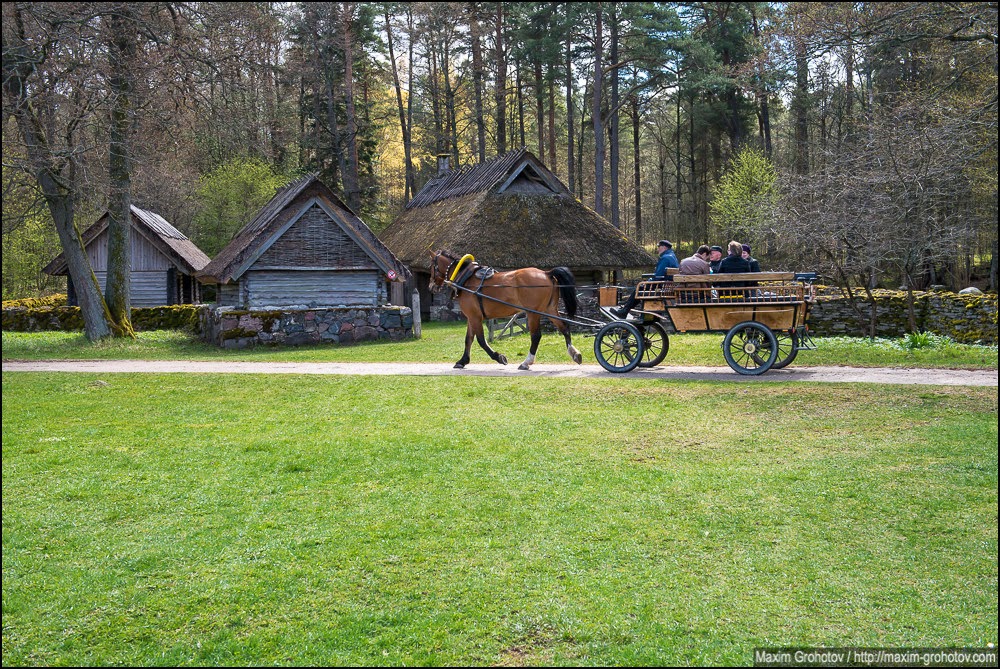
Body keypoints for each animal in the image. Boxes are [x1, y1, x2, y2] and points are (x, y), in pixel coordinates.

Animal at [426, 248, 584, 368]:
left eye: (431, 267)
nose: (431, 287)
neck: (466, 279)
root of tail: (546, 273)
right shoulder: (472, 317)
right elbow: (468, 339)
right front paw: (463, 361)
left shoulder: (475, 317)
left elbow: (481, 340)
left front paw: (499, 357)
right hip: (549, 309)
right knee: (564, 328)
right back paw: (574, 353)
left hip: (533, 313)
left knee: (536, 336)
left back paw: (526, 362)